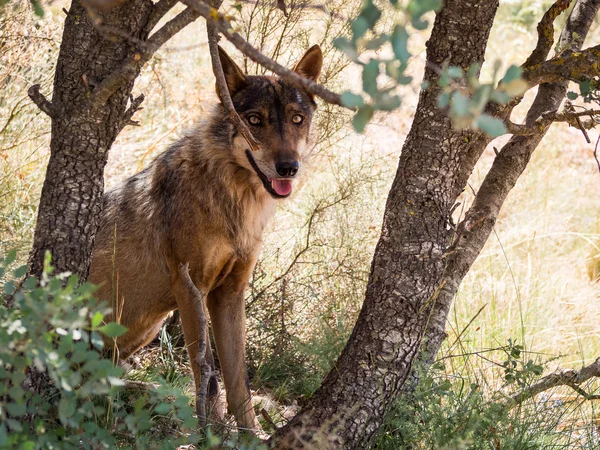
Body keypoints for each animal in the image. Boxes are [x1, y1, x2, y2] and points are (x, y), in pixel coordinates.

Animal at [88, 45, 324, 432]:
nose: (289, 167)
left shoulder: (229, 293)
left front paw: (250, 434)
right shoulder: (191, 286)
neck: (235, 202)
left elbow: (238, 381)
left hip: (146, 328)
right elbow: (208, 374)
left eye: (296, 119)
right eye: (254, 120)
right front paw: (209, 432)